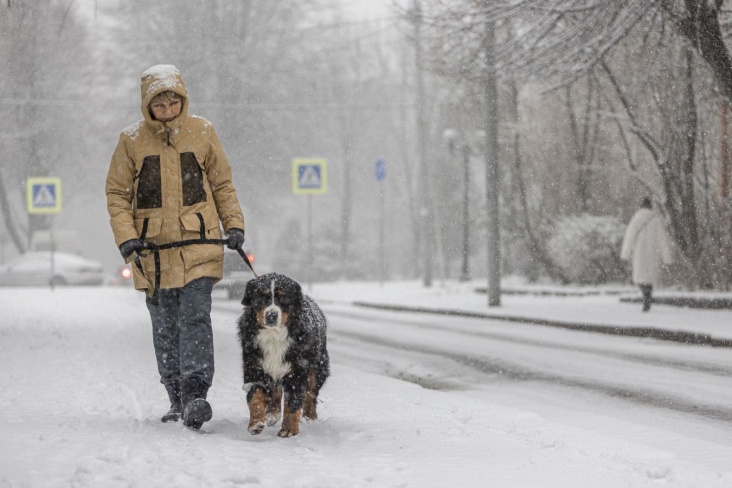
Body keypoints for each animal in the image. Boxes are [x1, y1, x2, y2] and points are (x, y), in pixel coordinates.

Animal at [236, 272, 330, 436]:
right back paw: (271, 414)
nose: (271, 315)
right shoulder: (254, 366)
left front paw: (289, 429)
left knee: (311, 393)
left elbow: (292, 402)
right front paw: (256, 422)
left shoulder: (298, 370)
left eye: (283, 298)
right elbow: (255, 394)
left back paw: (310, 416)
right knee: (275, 390)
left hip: (317, 366)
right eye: (262, 297)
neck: (274, 336)